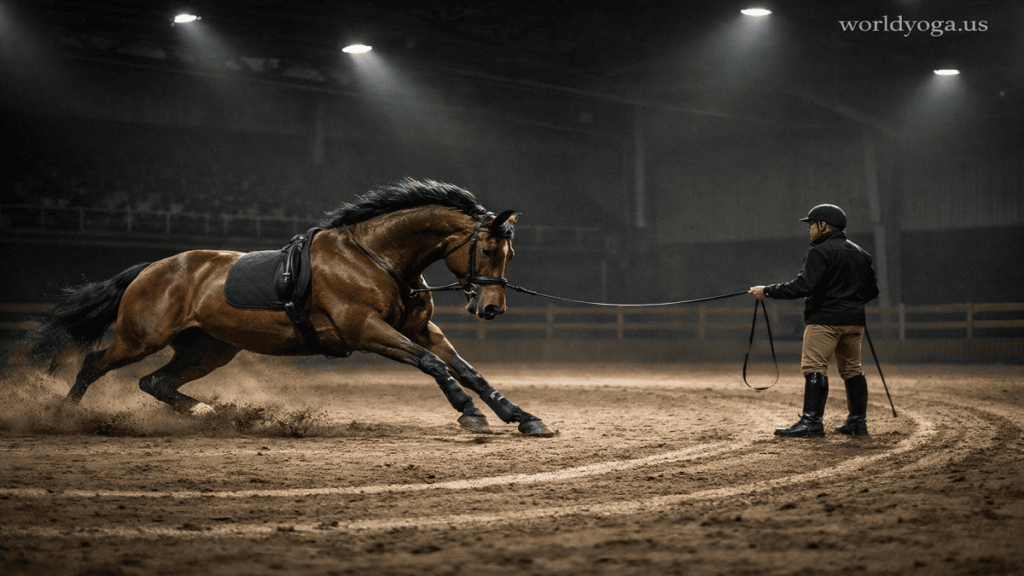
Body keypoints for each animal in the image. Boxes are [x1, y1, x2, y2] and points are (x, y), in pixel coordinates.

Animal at [29, 179, 554, 436]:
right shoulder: (365, 328)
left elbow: (467, 370)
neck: (377, 257)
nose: (491, 308)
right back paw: (60, 417)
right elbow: (433, 366)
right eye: (487, 248)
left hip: (208, 349)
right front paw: (471, 415)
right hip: (141, 338)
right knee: (94, 363)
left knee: (155, 382)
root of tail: (151, 268)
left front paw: (523, 417)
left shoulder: (421, 329)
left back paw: (212, 414)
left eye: (509, 253)